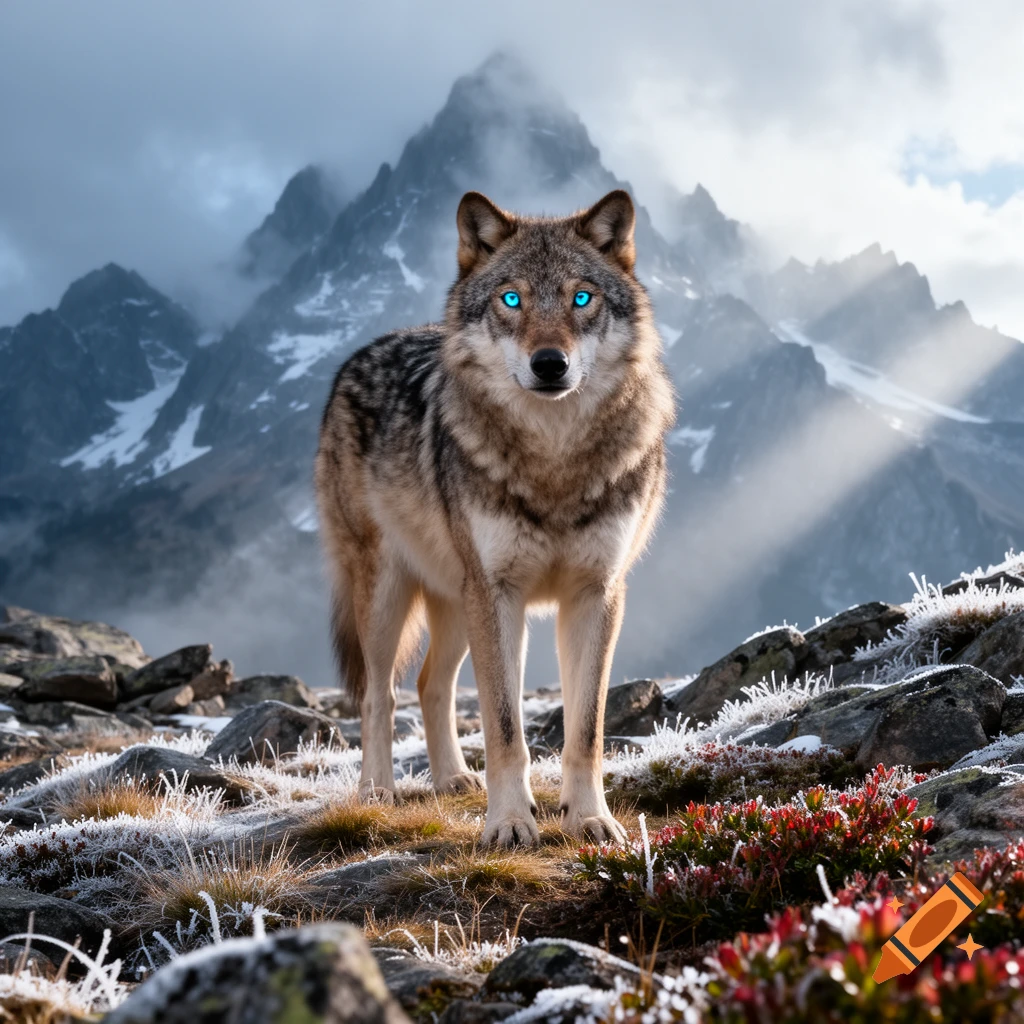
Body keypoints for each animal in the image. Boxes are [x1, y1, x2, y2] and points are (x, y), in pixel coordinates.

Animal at [315, 189, 675, 847]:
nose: (550, 363)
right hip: (393, 596)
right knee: (379, 695)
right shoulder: (499, 594)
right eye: (512, 299)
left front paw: (589, 818)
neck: (554, 460)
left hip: (458, 603)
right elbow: (505, 728)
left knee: (431, 684)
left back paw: (453, 780)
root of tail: (357, 356)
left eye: (581, 297)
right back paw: (376, 791)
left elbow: (586, 729)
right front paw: (509, 823)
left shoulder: (596, 594)